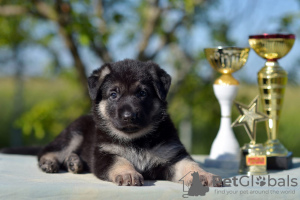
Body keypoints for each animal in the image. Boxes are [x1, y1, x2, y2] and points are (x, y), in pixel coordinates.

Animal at [32, 59, 220, 186]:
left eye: (142, 93)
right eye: (113, 94)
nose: (128, 116)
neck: (137, 140)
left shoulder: (173, 156)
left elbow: (190, 164)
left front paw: (204, 175)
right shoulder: (105, 154)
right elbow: (120, 161)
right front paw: (128, 173)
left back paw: (74, 162)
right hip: (74, 134)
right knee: (47, 150)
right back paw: (50, 162)